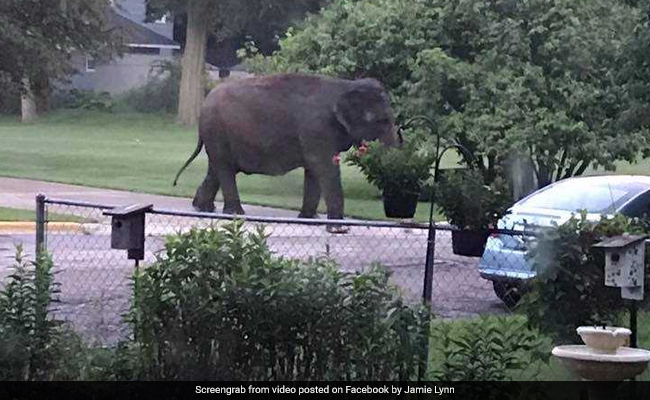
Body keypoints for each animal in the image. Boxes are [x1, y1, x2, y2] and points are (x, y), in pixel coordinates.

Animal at [172, 73, 398, 227]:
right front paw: (336, 225)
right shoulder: (317, 128)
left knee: (217, 168)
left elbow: (314, 170)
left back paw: (203, 208)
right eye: (383, 121)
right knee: (225, 169)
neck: (345, 85)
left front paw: (310, 219)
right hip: (217, 131)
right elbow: (323, 166)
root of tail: (204, 105)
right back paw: (234, 214)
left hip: (218, 134)